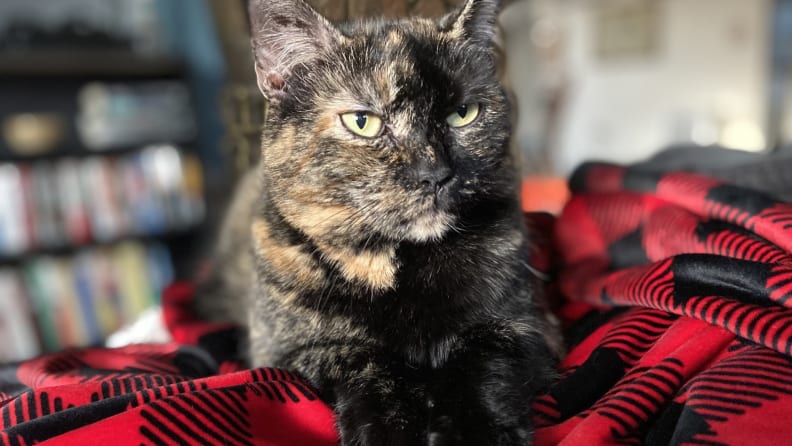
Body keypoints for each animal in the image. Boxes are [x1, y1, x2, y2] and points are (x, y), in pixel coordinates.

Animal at [196, 0, 556, 444]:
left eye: (463, 114)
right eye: (362, 121)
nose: (434, 174)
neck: (398, 268)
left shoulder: (524, 325)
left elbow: (484, 363)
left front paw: (476, 431)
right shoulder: (286, 351)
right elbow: (364, 364)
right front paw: (389, 430)